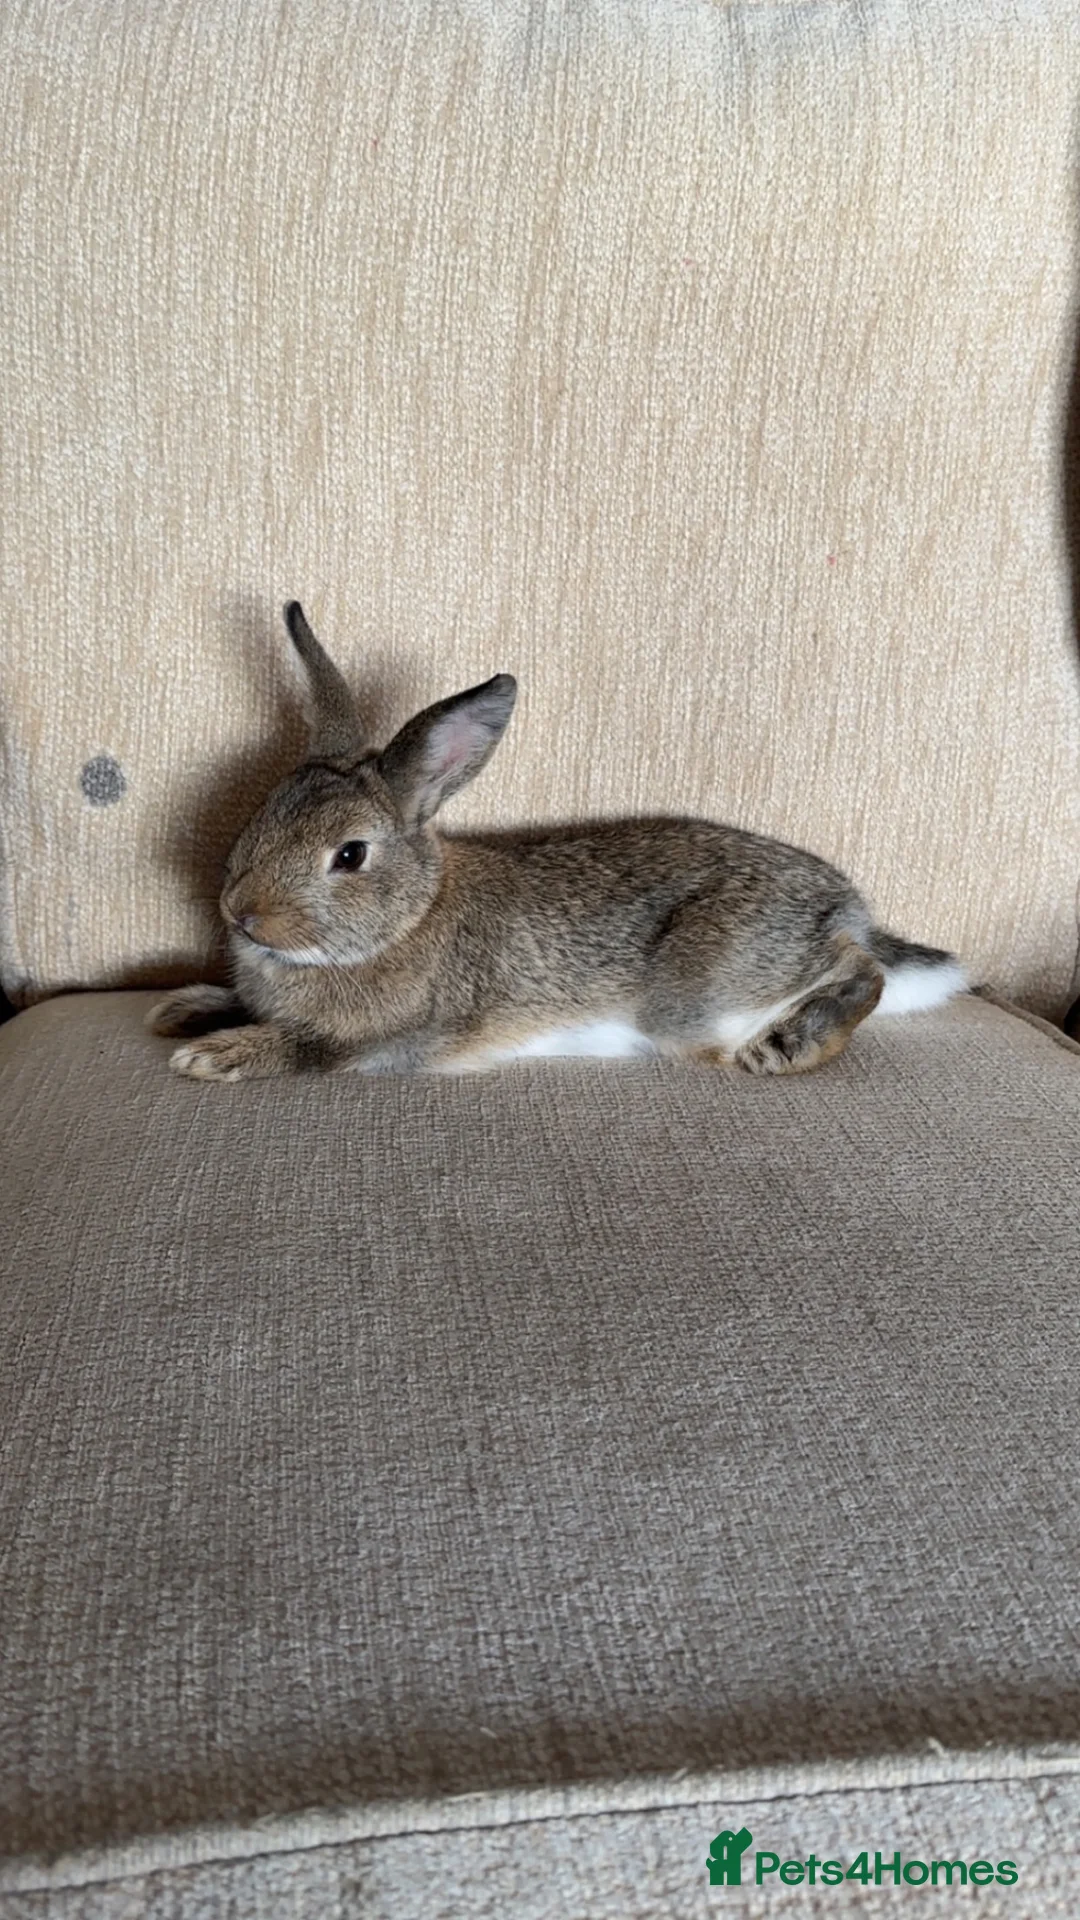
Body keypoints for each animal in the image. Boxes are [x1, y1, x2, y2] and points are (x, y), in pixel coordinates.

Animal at [147, 602, 967, 1082]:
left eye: (349, 855)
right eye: (264, 810)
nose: (242, 913)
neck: (406, 920)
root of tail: (847, 905)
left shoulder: (392, 1037)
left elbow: (305, 1048)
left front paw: (215, 1054)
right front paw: (182, 1008)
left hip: (705, 994)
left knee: (860, 970)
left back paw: (792, 1043)